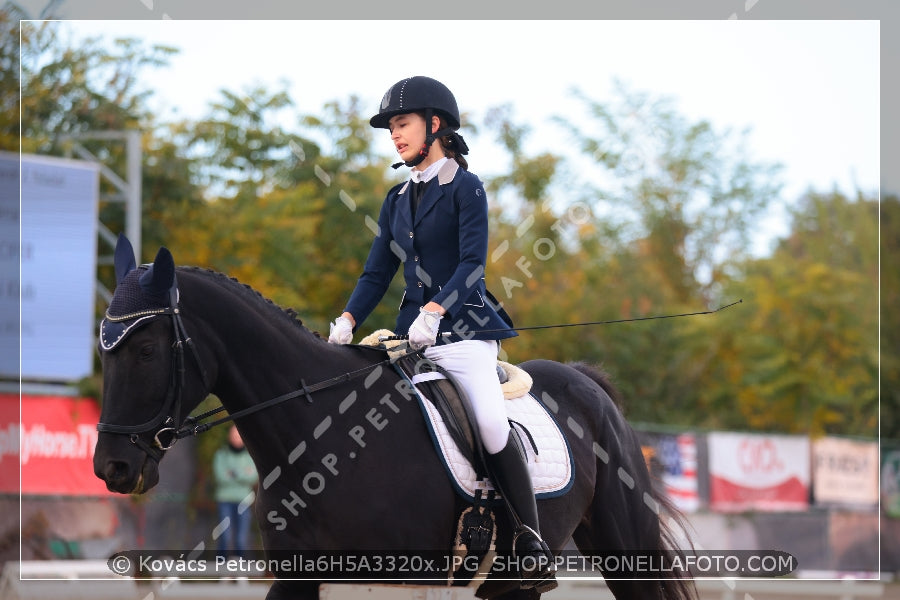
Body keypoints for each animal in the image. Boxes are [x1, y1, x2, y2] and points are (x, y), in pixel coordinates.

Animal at [93, 236, 696, 600]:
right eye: (105, 352)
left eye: (145, 351)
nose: (112, 468)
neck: (319, 435)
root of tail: (583, 379)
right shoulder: (298, 577)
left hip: (622, 546)